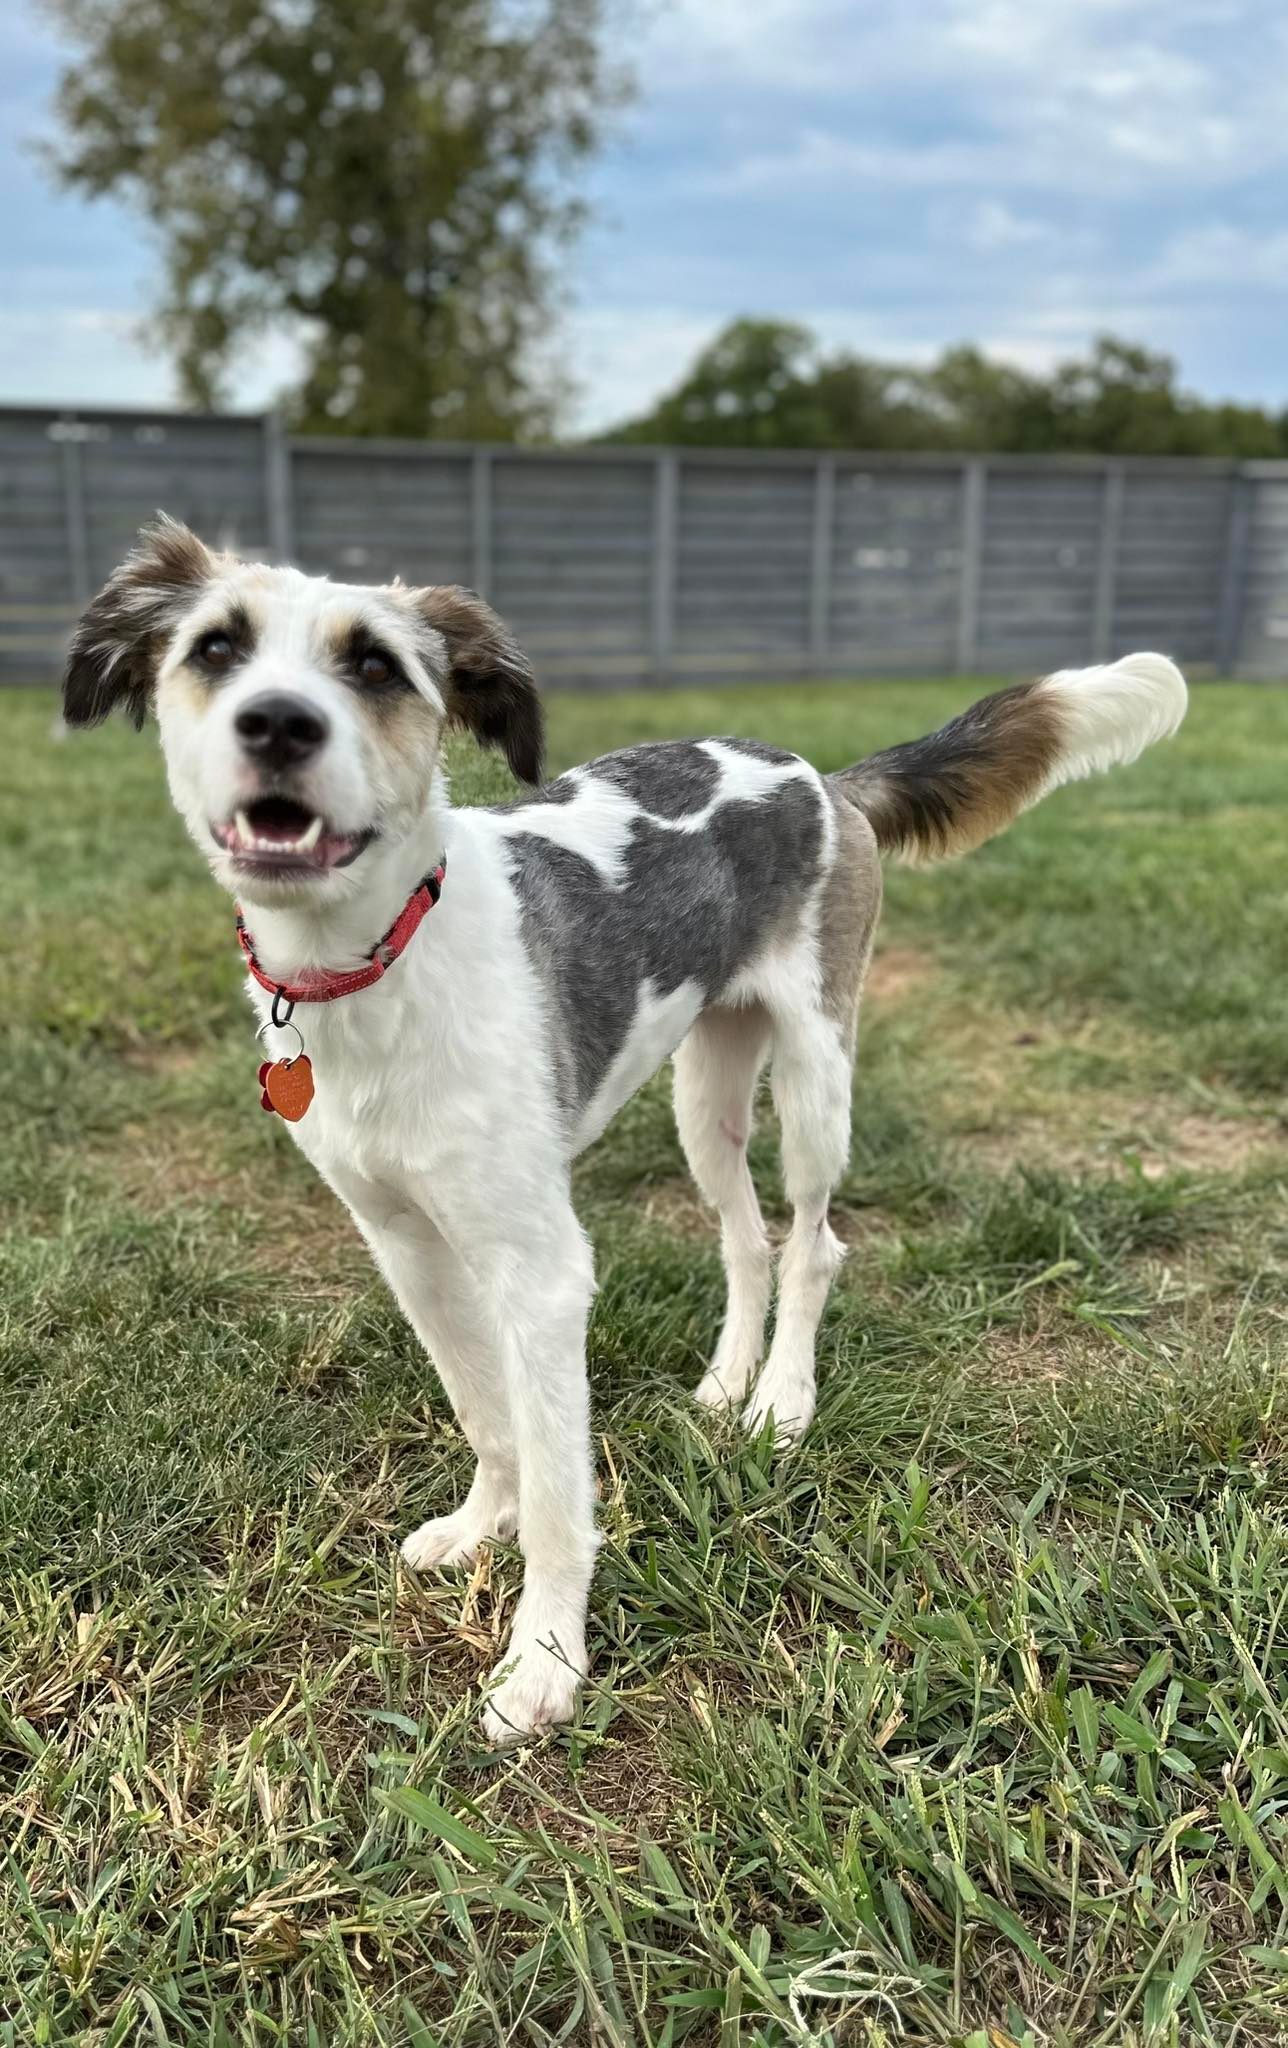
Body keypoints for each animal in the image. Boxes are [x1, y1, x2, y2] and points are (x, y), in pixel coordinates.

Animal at [60, 520, 1187, 1736]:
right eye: (216, 648)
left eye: (375, 666)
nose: (275, 722)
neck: (377, 960)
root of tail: (820, 776)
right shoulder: (406, 1243)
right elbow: (486, 1413)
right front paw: (481, 1528)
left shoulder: (541, 1270)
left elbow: (563, 1488)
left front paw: (545, 1659)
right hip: (704, 1093)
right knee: (747, 1240)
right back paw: (729, 1385)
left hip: (815, 1077)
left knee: (815, 1241)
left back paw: (783, 1402)